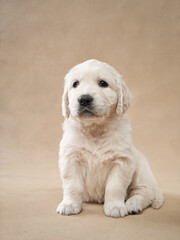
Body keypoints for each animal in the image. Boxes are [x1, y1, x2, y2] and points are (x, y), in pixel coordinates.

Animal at [56, 58, 163, 218]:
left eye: (103, 83)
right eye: (75, 84)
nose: (84, 99)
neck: (95, 130)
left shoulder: (122, 161)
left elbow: (115, 186)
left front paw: (115, 207)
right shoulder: (70, 158)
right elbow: (72, 185)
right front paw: (69, 204)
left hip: (141, 169)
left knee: (144, 192)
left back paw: (132, 205)